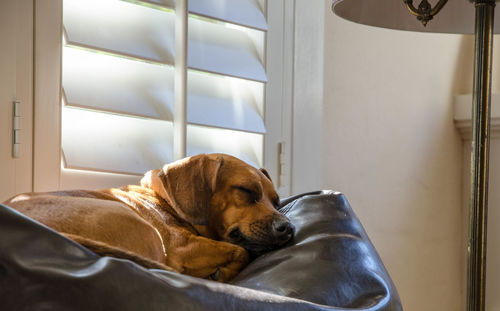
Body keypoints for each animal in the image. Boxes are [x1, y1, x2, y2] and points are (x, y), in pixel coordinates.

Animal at [2, 154, 292, 282]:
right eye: (246, 191)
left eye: (277, 201)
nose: (288, 227)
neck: (164, 201)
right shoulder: (182, 247)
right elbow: (240, 251)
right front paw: (225, 273)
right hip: (147, 233)